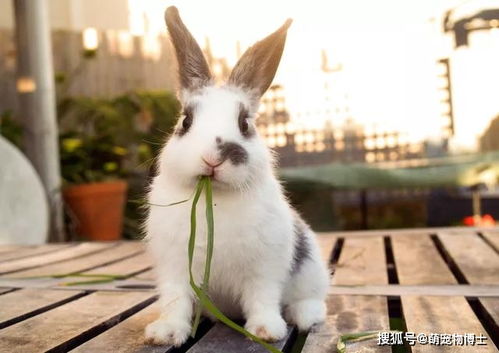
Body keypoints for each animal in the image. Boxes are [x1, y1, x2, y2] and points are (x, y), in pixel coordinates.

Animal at [144, 5, 332, 346]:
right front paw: (164, 333)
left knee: (312, 300)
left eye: (245, 124)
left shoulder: (265, 268)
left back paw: (303, 315)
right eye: (185, 121)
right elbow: (176, 301)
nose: (213, 158)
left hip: (311, 271)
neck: (215, 198)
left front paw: (266, 331)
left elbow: (262, 298)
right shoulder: (175, 268)